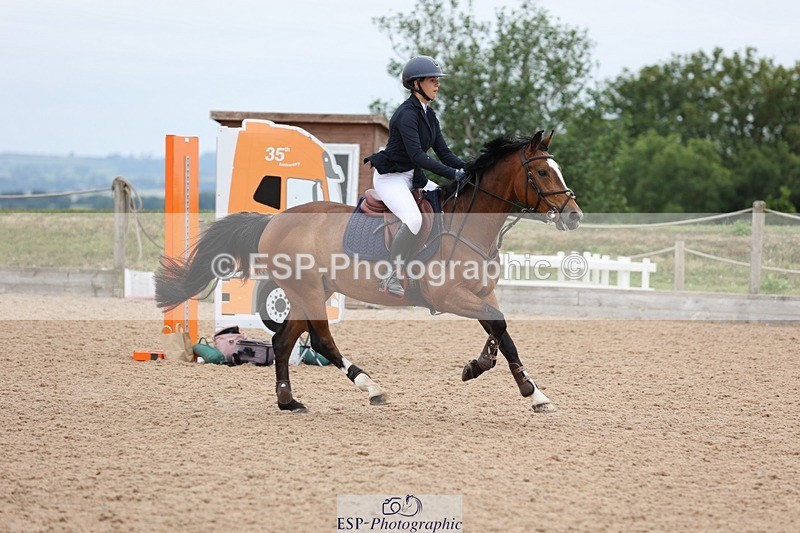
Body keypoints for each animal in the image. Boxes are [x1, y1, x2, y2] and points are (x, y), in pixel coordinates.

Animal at [155, 129, 583, 413]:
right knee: (320, 340)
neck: (471, 224)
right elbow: (499, 326)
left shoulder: (480, 293)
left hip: (313, 290)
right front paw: (526, 389)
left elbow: (501, 332)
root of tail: (273, 220)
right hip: (308, 290)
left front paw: (489, 372)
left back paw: (289, 401)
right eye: (542, 174)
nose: (574, 216)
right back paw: (370, 387)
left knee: (284, 340)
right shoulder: (449, 296)